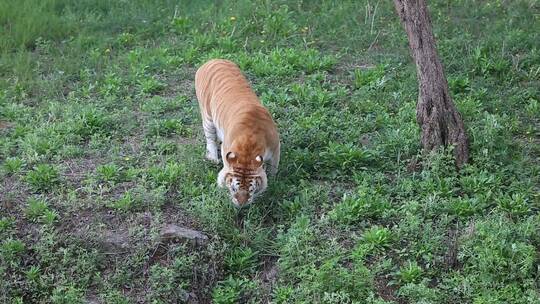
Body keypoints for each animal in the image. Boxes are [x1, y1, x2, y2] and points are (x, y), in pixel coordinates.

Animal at [194, 58, 280, 208]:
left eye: (251, 190)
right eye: (233, 188)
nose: (241, 205)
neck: (249, 145)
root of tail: (212, 59)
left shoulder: (275, 148)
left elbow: (273, 169)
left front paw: (273, 182)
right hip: (207, 116)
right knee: (210, 138)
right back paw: (213, 158)